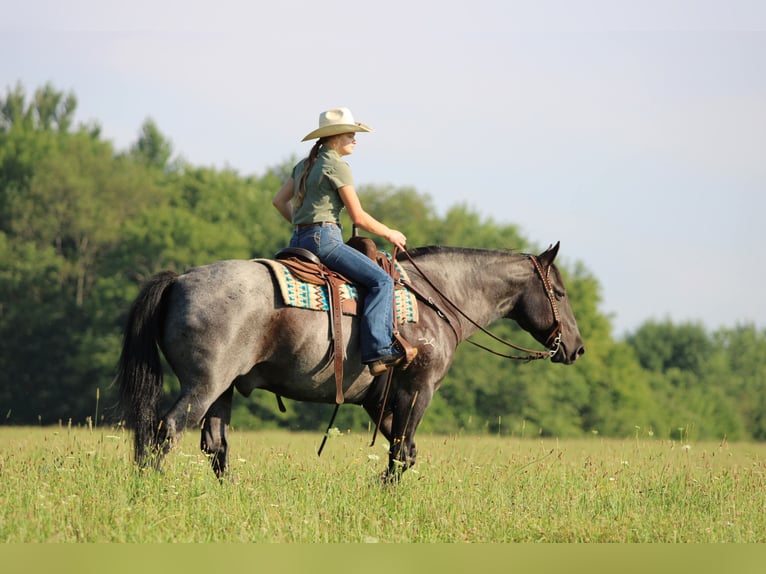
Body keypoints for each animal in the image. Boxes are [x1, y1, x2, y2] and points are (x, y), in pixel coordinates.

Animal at [116, 241, 585, 480]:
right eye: (560, 293)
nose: (576, 348)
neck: (433, 302)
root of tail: (179, 279)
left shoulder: (380, 401)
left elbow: (404, 452)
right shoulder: (417, 391)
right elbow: (402, 451)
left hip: (222, 391)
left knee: (214, 445)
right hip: (203, 386)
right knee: (164, 432)